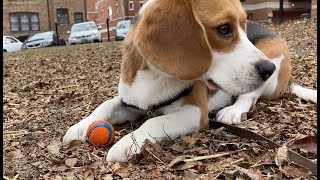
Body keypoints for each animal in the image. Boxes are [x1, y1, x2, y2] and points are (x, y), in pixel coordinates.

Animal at [63, 0, 318, 162]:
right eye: (224, 28)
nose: (268, 69)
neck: (157, 75)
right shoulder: (133, 100)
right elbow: (107, 104)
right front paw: (80, 126)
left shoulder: (194, 112)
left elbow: (153, 122)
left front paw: (127, 144)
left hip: (270, 61)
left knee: (249, 96)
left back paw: (233, 111)